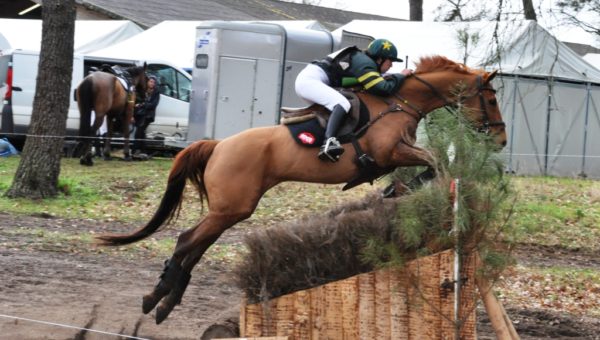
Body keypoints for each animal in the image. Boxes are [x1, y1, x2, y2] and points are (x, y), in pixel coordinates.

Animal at [97, 55, 506, 324]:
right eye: (490, 98)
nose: (500, 139)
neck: (398, 101)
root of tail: (219, 144)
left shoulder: (396, 154)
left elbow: (432, 163)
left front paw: (401, 189)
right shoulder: (389, 152)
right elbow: (433, 161)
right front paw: (403, 188)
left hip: (230, 210)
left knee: (194, 245)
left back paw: (163, 301)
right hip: (232, 207)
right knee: (186, 242)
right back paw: (158, 300)